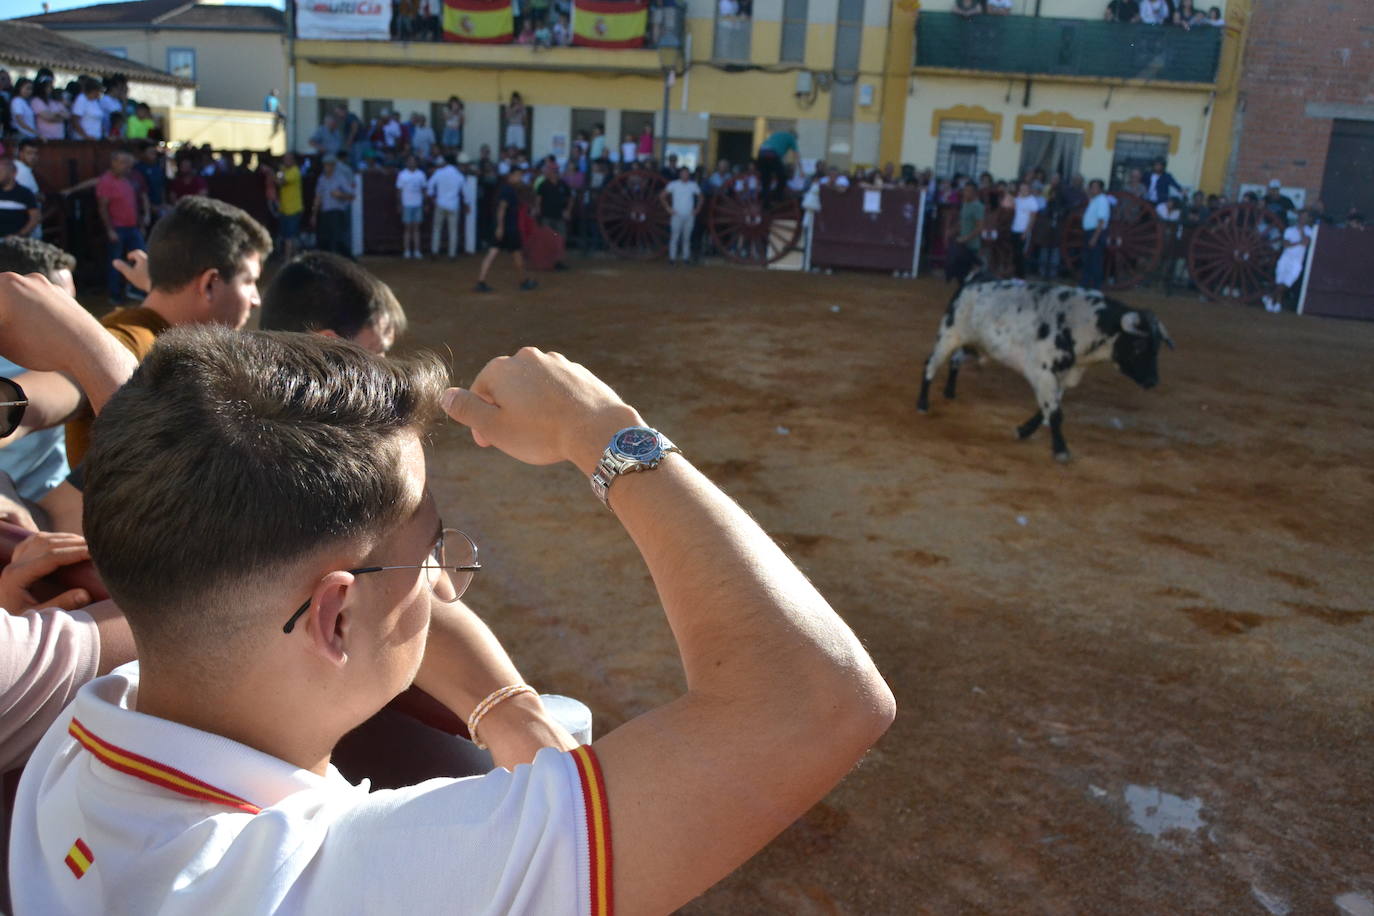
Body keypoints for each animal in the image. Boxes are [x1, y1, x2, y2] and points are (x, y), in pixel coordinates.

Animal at [917, 277, 1176, 461]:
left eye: (1157, 347)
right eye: (1139, 345)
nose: (1153, 381)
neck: (1083, 323)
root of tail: (970, 284)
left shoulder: (1063, 376)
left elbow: (1047, 410)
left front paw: (1023, 431)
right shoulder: (1043, 372)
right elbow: (1055, 412)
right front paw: (1061, 450)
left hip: (975, 346)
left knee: (956, 360)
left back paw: (950, 392)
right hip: (949, 335)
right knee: (931, 364)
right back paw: (922, 403)